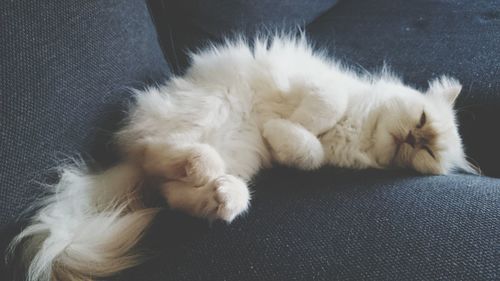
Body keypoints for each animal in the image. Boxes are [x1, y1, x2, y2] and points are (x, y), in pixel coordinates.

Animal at [9, 35, 474, 280]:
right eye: (422, 121)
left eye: (428, 151)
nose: (414, 137)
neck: (358, 131)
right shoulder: (322, 86)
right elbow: (322, 110)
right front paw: (290, 124)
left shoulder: (319, 151)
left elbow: (307, 152)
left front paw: (285, 134)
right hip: (206, 114)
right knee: (160, 155)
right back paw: (207, 169)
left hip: (236, 156)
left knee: (176, 189)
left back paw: (223, 195)